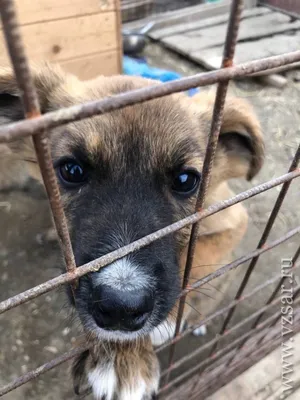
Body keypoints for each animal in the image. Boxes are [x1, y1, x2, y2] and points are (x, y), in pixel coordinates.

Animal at [0, 64, 262, 398]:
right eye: (71, 170)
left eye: (186, 180)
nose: (121, 309)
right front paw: (119, 353)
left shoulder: (233, 220)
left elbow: (196, 258)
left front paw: (131, 350)